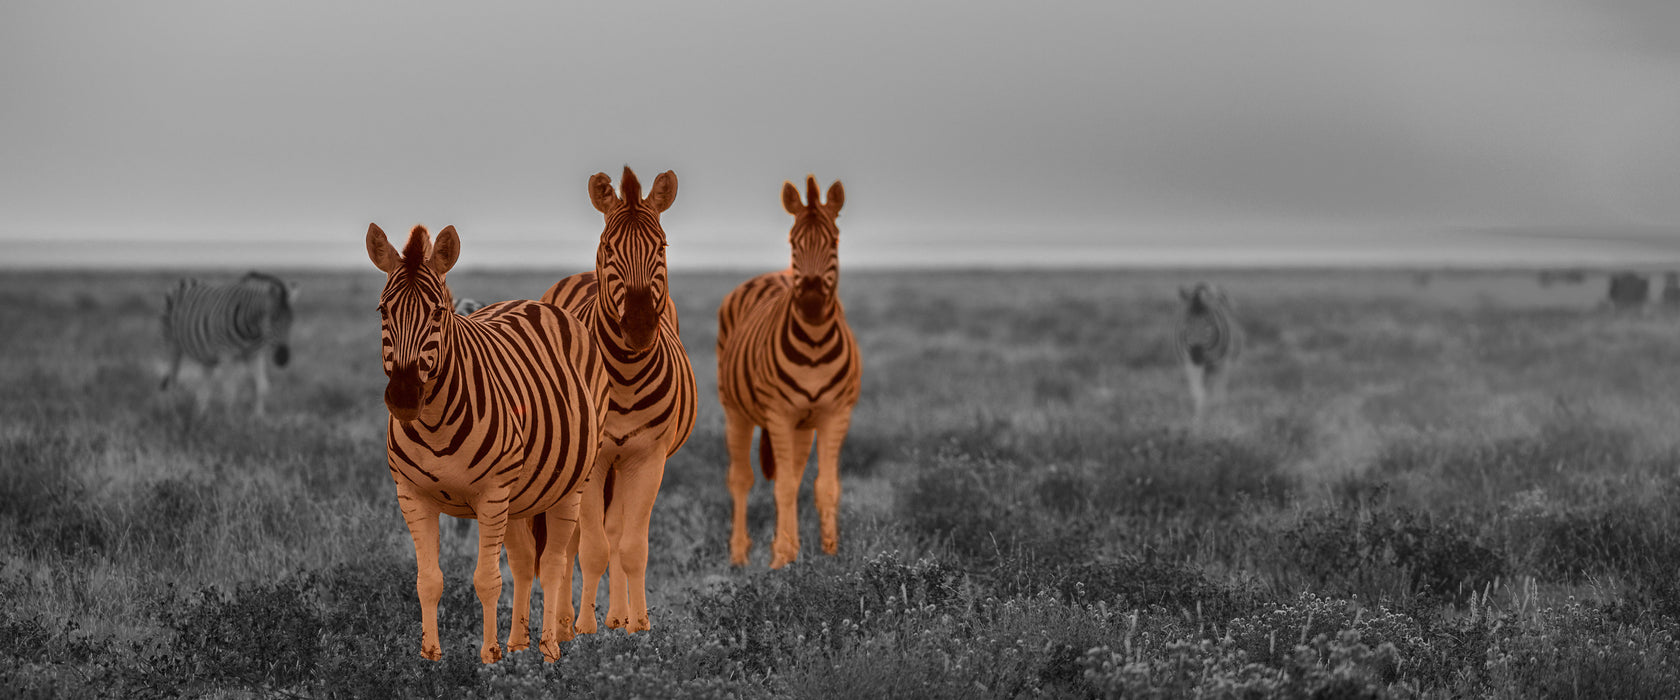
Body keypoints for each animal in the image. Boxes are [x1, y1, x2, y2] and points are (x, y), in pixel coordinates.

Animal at [158, 270, 300, 417]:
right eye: (273, 319)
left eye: (291, 320)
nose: (283, 358)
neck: (251, 331)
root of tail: (185, 279)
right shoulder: (226, 354)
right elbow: (230, 391)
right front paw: (230, 420)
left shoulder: (255, 355)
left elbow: (261, 387)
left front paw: (259, 418)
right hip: (171, 343)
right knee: (171, 380)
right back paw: (172, 414)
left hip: (206, 355)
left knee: (204, 387)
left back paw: (202, 416)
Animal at [364, 221, 608, 661]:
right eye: (383, 311)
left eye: (438, 312)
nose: (405, 397)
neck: (434, 424)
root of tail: (534, 303)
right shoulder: (411, 495)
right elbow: (429, 580)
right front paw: (430, 658)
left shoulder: (492, 495)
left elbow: (487, 580)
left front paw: (489, 658)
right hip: (521, 495)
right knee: (526, 561)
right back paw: (519, 644)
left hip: (569, 486)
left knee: (553, 564)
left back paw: (548, 647)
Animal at [537, 166, 695, 634]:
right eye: (608, 247)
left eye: (662, 246)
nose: (640, 327)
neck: (624, 375)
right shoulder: (595, 460)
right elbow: (591, 547)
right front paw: (584, 628)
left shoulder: (648, 458)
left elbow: (631, 546)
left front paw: (637, 625)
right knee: (573, 540)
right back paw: (566, 621)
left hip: (624, 466)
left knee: (616, 529)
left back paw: (617, 615)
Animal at [715, 172, 860, 567]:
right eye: (793, 242)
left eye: (834, 241)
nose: (810, 302)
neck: (814, 344)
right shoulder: (779, 414)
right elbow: (780, 487)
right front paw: (781, 559)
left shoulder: (835, 414)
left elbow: (825, 486)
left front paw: (829, 555)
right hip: (736, 411)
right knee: (741, 478)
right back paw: (739, 554)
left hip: (803, 426)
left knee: (793, 476)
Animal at [1182, 282, 1249, 426]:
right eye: (1187, 322)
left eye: (1209, 323)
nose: (1196, 354)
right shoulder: (1191, 364)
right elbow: (1198, 394)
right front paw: (1197, 423)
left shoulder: (1222, 365)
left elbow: (1217, 396)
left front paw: (1218, 422)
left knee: (1218, 391)